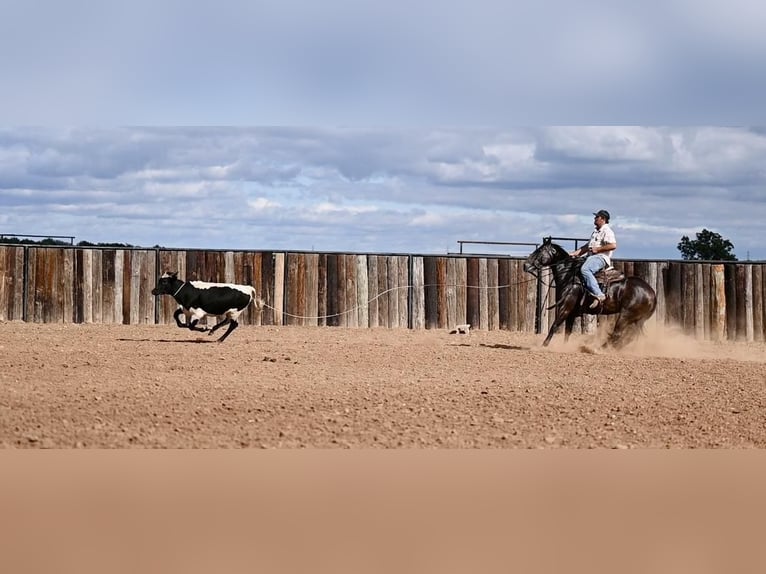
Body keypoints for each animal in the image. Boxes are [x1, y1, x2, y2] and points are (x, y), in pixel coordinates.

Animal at [524, 237, 656, 348]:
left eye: (540, 251)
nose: (525, 265)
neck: (569, 276)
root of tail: (652, 293)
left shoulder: (565, 308)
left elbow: (554, 326)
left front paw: (543, 345)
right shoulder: (571, 312)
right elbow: (567, 331)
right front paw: (565, 347)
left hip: (626, 316)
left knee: (617, 333)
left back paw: (598, 348)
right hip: (637, 320)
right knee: (635, 336)